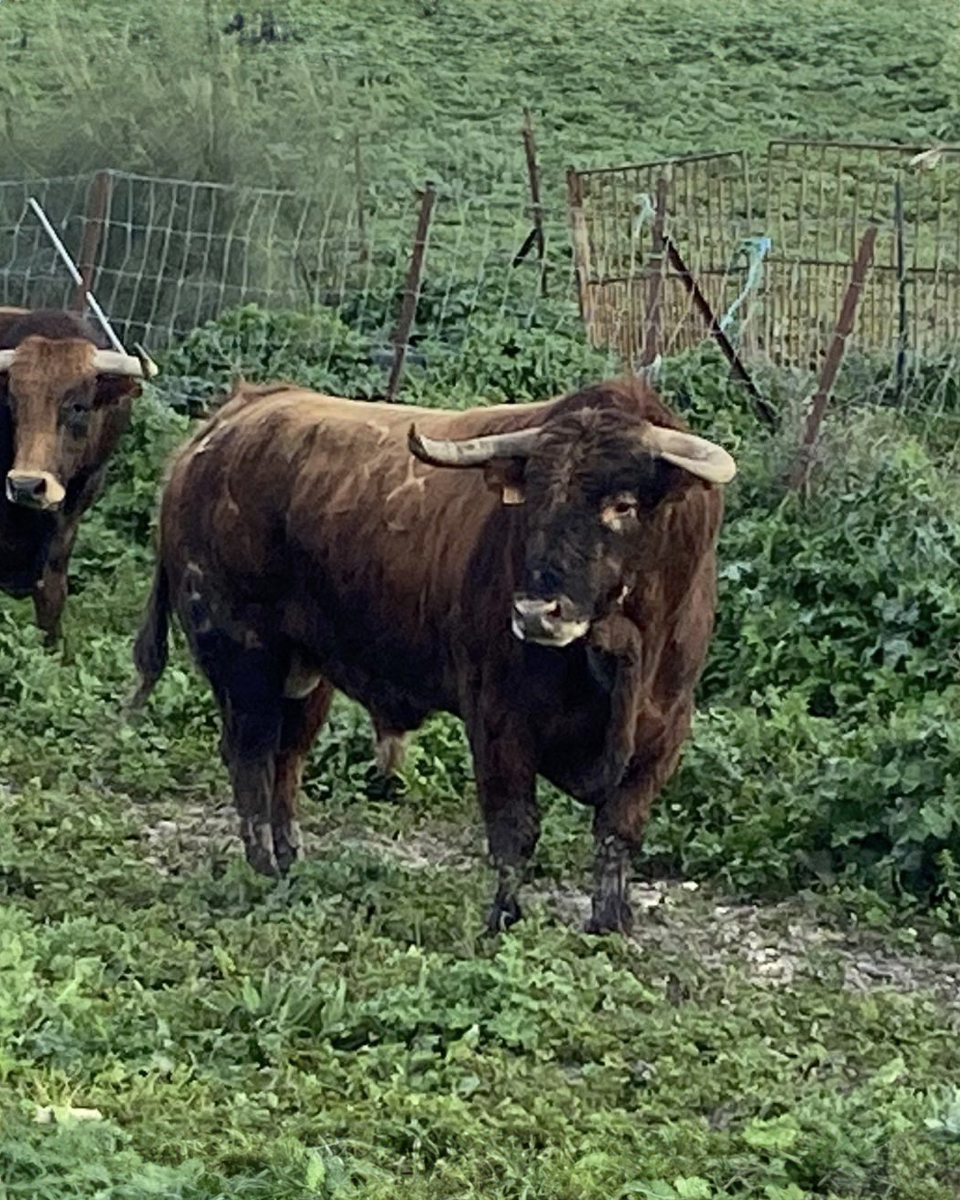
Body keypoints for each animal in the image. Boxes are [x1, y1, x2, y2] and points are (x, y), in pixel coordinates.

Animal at [129, 376, 736, 935]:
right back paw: (264, 870)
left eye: (623, 504)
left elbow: (618, 832)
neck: (620, 648)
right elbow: (514, 829)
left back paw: (292, 864)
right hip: (243, 653)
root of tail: (233, 417)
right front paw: (502, 921)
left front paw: (611, 927)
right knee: (251, 756)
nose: (536, 612)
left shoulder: (664, 730)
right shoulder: (497, 718)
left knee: (287, 757)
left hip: (304, 671)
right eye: (533, 500)